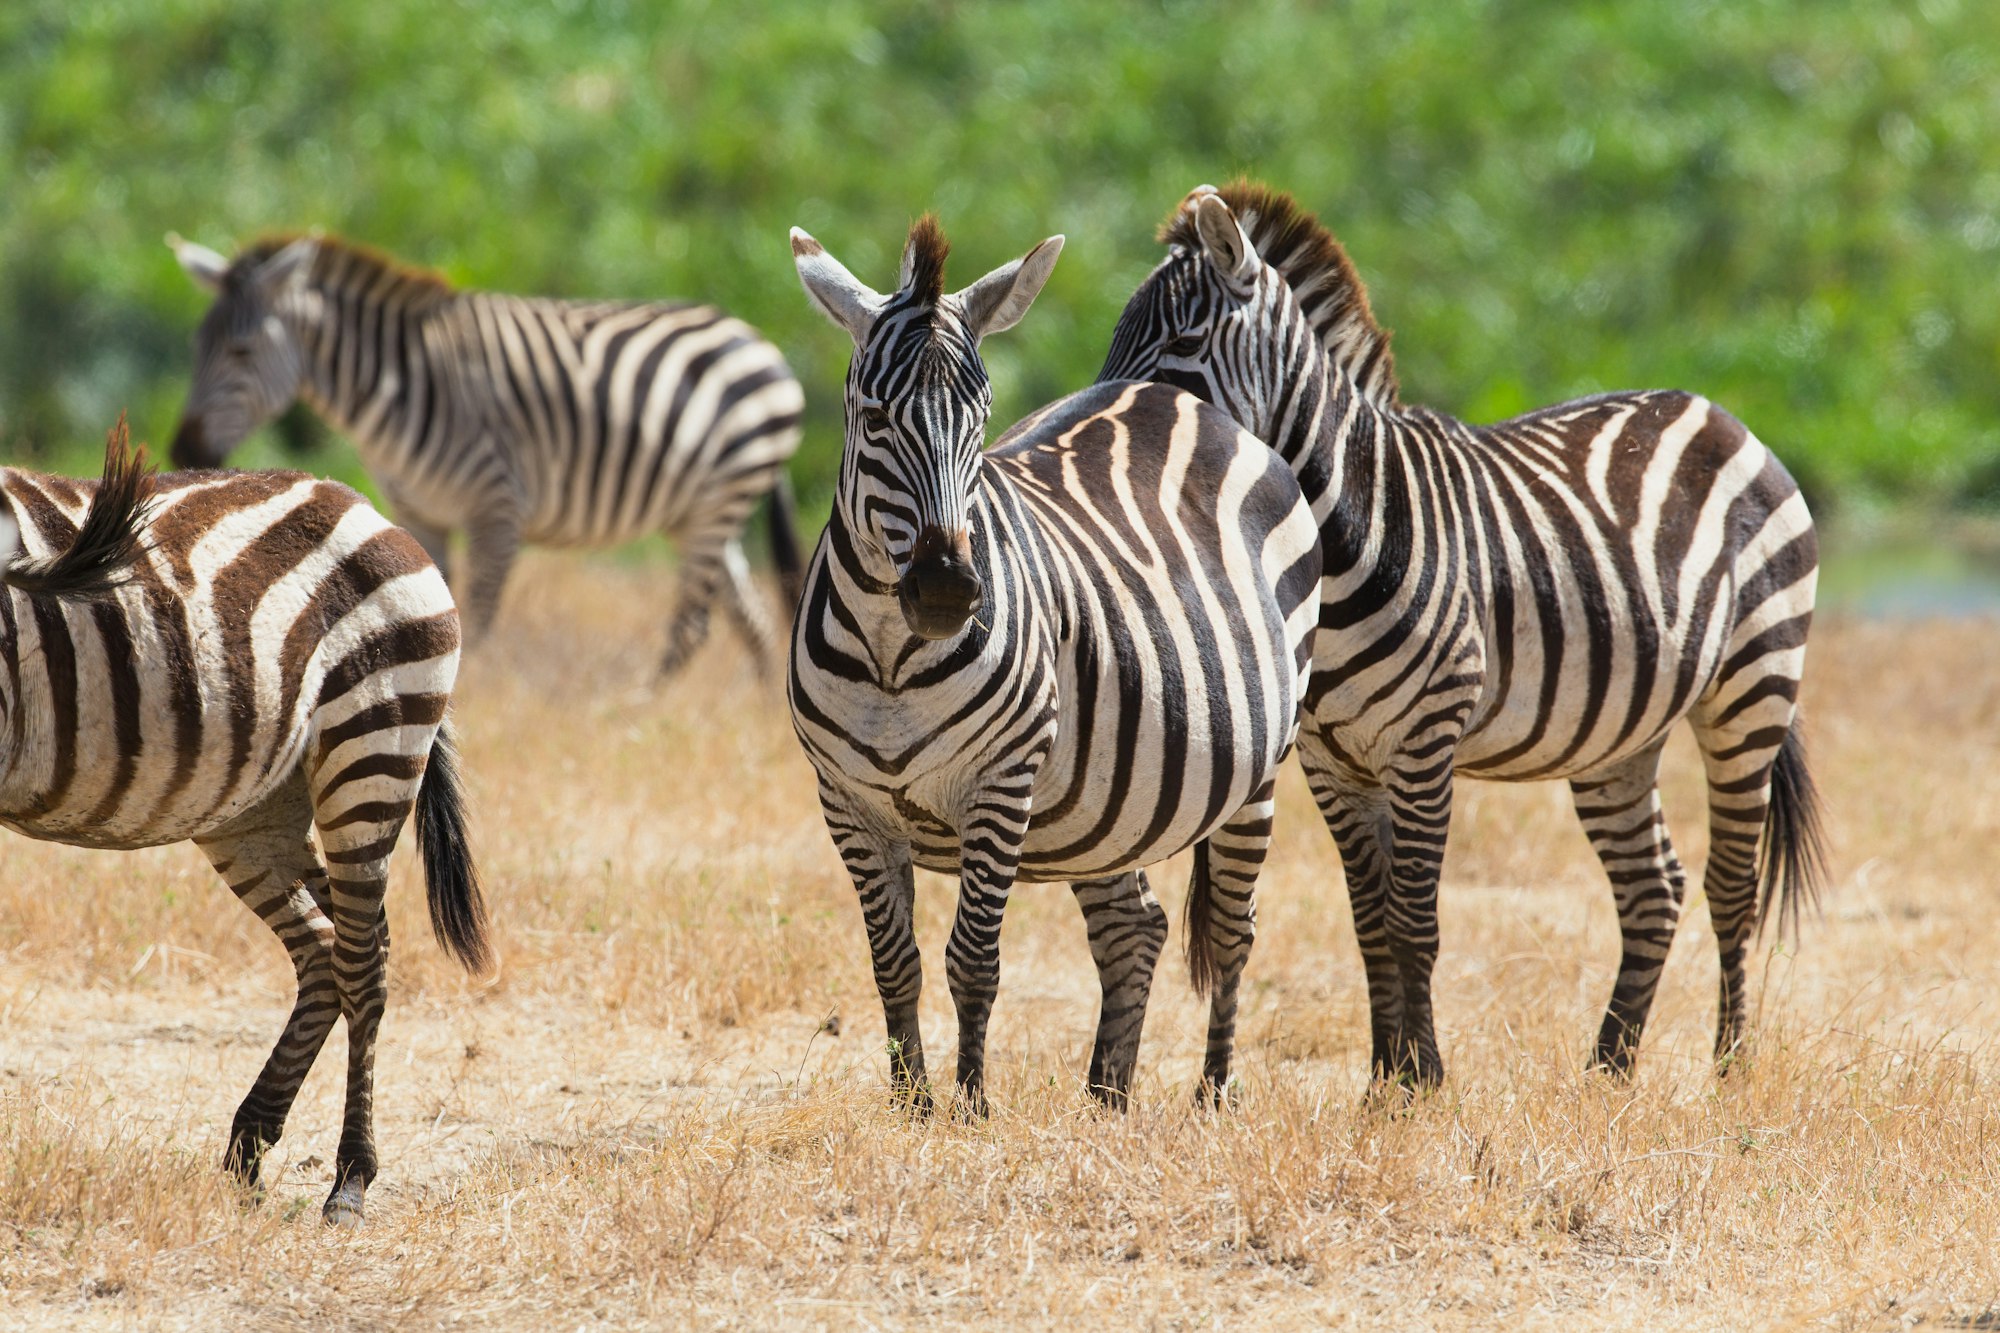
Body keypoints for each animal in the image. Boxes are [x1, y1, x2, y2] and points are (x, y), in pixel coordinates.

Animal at [2, 422, 492, 1224]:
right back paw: (249, 1149)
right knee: (326, 947)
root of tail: (361, 504)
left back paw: (349, 1180)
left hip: (372, 745)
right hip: (255, 811)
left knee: (363, 959)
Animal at [164, 224, 804, 676]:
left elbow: (481, 619)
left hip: (722, 499)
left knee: (695, 626)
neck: (400, 382)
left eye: (242, 351)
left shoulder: (496, 507)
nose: (185, 447)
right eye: (196, 345)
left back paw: (647, 710)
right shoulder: (421, 510)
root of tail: (756, 339)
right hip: (697, 513)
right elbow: (428, 610)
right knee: (751, 618)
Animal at [784, 215, 1328, 1112]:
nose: (947, 589)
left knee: (1231, 930)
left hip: (1259, 766)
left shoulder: (1001, 782)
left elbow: (972, 959)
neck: (892, 656)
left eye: (981, 418)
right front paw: (910, 1104)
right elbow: (893, 963)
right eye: (874, 414)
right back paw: (1106, 1097)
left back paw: (1212, 1093)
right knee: (1133, 925)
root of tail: (1183, 399)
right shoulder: (847, 802)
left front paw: (970, 1108)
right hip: (1103, 805)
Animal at [1096, 182, 1832, 1088]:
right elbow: (1369, 919)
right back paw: (1610, 1067)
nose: (1100, 421)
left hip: (1753, 681)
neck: (1346, 537)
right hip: (1621, 733)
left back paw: (1729, 1067)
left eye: (1182, 341)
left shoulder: (1425, 740)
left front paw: (1423, 1078)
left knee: (1731, 885)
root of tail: (1715, 411)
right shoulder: (1331, 760)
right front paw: (1384, 1079)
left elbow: (1415, 917)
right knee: (1652, 888)